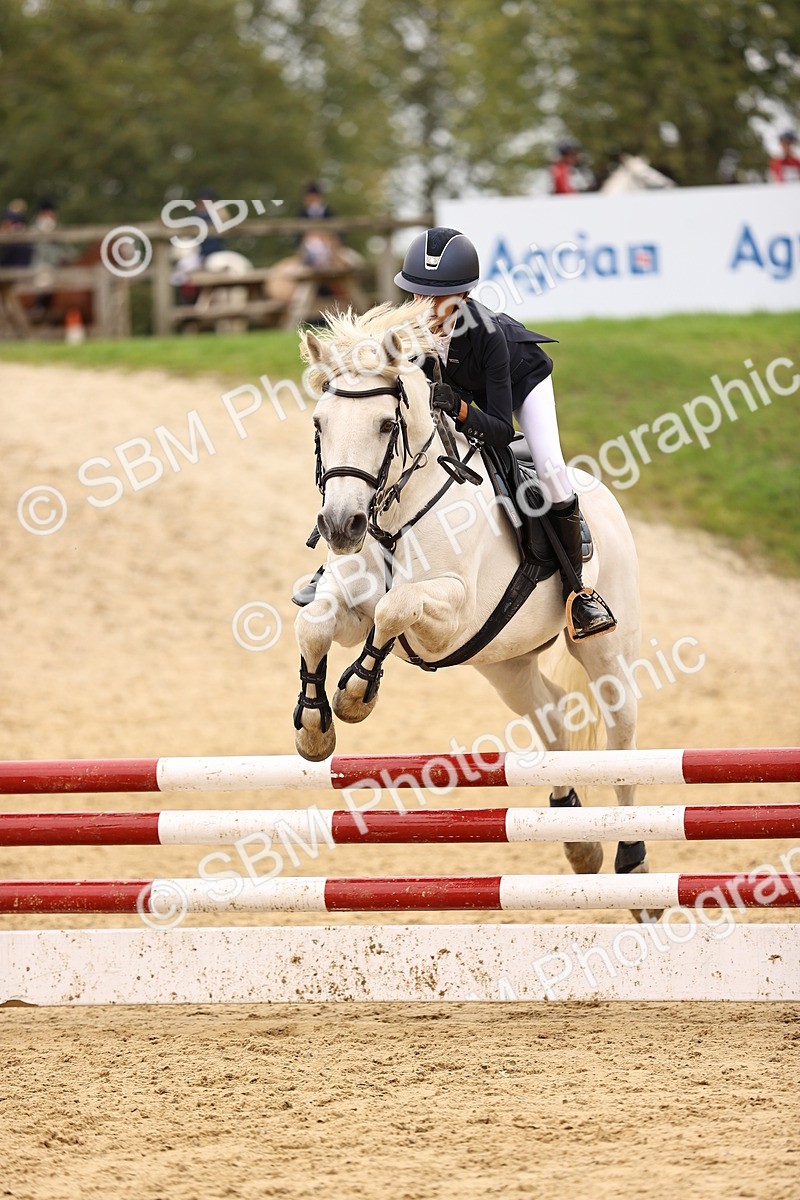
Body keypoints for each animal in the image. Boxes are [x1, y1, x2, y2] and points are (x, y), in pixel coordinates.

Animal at [292, 300, 649, 897]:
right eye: (318, 424)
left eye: (385, 424)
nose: (341, 527)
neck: (396, 514)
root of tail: (605, 499)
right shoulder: (351, 606)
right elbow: (316, 624)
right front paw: (316, 725)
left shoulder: (451, 617)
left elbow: (394, 608)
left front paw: (356, 694)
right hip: (504, 660)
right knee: (551, 715)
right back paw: (578, 837)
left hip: (603, 650)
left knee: (621, 740)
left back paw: (633, 860)